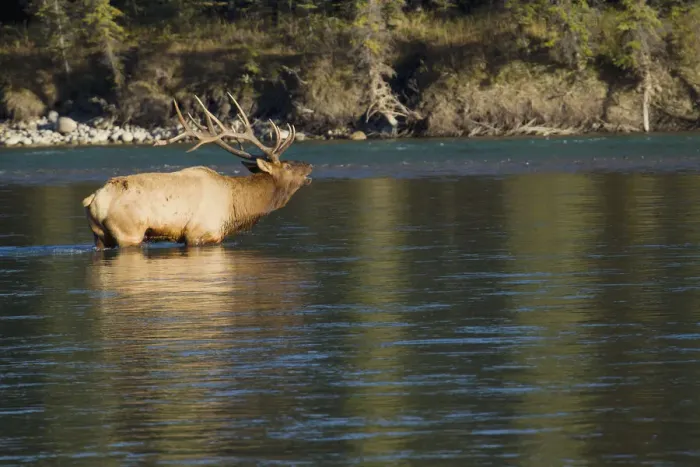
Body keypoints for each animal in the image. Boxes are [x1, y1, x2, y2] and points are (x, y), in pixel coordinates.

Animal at [82, 92, 313, 249]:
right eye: (288, 165)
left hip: (99, 236)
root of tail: (93, 199)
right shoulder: (199, 233)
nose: (309, 164)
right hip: (129, 232)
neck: (237, 208)